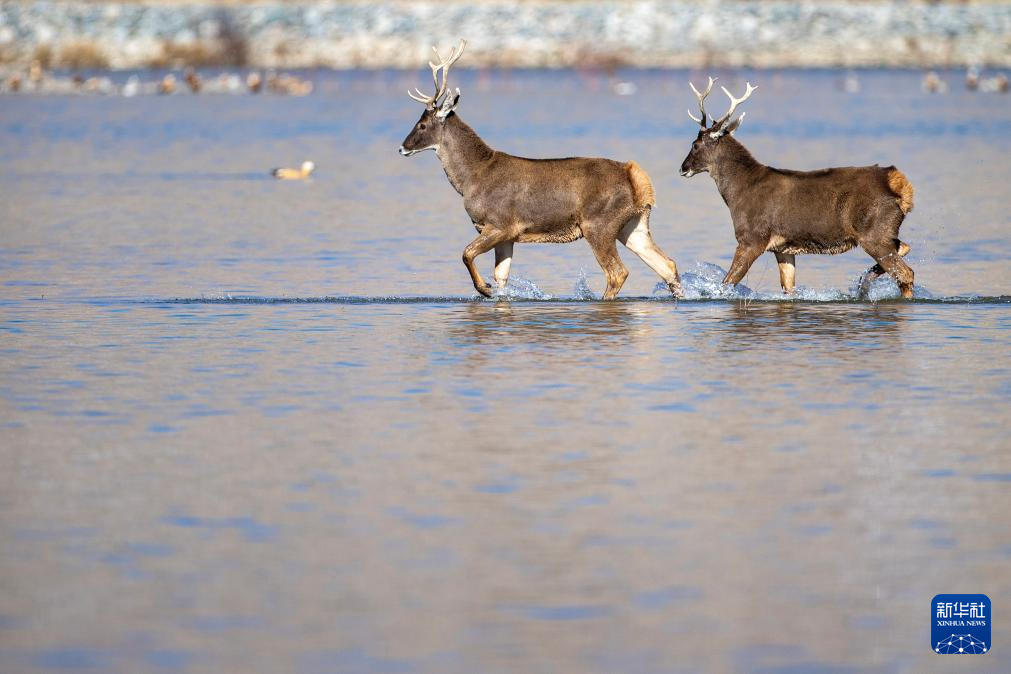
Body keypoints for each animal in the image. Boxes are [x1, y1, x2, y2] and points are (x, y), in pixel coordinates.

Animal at [398, 39, 683, 297]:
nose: (402, 147)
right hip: (632, 224)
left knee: (618, 272)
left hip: (599, 223)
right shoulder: (507, 235)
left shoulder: (501, 223)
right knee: (667, 264)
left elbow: (466, 253)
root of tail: (636, 177)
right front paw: (495, 292)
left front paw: (484, 289)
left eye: (422, 125)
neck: (472, 178)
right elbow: (501, 276)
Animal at [679, 77, 917, 297]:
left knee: (906, 273)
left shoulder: (752, 237)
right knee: (904, 250)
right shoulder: (782, 247)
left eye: (695, 144)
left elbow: (727, 283)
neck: (737, 192)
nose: (682, 168)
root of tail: (901, 185)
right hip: (884, 232)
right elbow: (788, 288)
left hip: (874, 232)